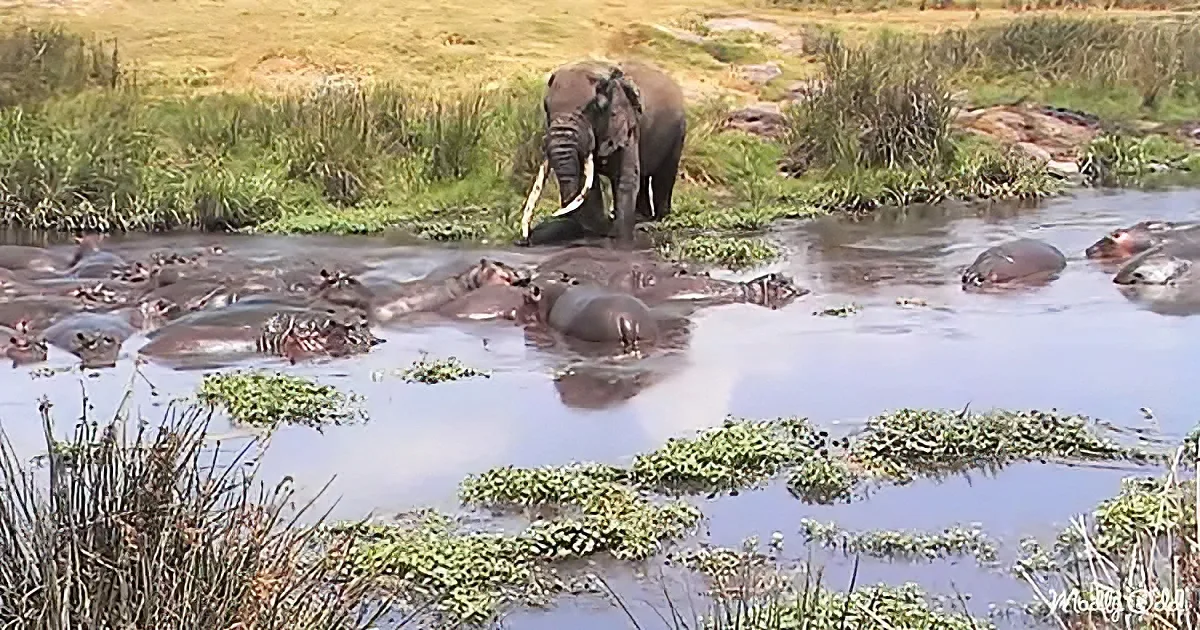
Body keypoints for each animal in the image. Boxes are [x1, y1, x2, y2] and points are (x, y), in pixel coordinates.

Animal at [518, 59, 687, 247]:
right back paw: (641, 217)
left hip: (678, 133)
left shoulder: (627, 124)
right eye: (546, 107)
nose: (525, 240)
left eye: (593, 108)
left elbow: (624, 177)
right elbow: (589, 183)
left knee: (663, 177)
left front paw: (620, 238)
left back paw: (659, 219)